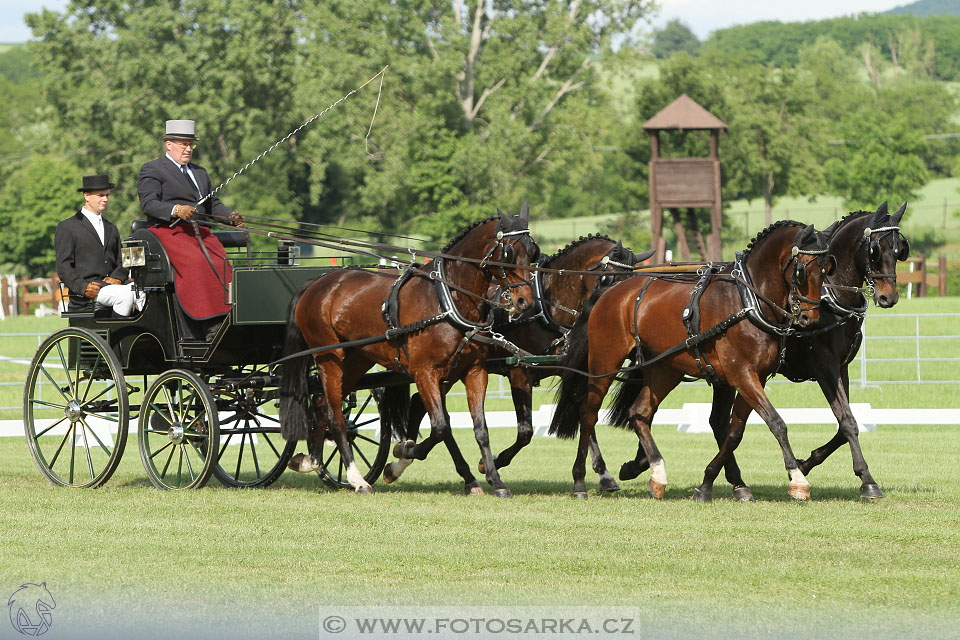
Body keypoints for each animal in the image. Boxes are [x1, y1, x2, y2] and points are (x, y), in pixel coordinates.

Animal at [280, 206, 540, 496]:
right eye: (508, 252)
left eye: (533, 252)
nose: (524, 302)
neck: (447, 298)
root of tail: (317, 282)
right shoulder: (424, 372)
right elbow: (441, 427)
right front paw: (404, 455)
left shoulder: (474, 371)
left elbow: (480, 428)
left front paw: (495, 481)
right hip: (329, 359)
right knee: (336, 416)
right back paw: (357, 479)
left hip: (355, 360)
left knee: (321, 404)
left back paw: (311, 461)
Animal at [386, 235, 656, 490]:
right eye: (608, 278)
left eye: (631, 278)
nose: (619, 318)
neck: (546, 308)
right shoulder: (520, 372)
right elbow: (526, 432)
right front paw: (491, 463)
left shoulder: (568, 369)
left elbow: (580, 412)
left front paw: (604, 473)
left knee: (420, 404)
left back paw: (405, 456)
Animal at [552, 224, 836, 500]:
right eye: (801, 270)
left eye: (826, 269)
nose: (810, 319)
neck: (748, 301)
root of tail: (609, 291)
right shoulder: (742, 375)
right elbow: (776, 423)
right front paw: (798, 479)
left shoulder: (755, 377)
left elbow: (735, 432)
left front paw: (708, 483)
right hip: (605, 363)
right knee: (588, 415)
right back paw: (581, 481)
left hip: (663, 370)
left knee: (639, 413)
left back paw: (657, 475)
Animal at [612, 200, 912, 500]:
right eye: (875, 250)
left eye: (899, 250)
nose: (889, 297)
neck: (831, 297)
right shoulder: (824, 366)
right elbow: (845, 420)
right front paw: (858, 478)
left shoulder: (840, 367)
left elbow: (846, 422)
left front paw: (816, 466)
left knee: (714, 421)